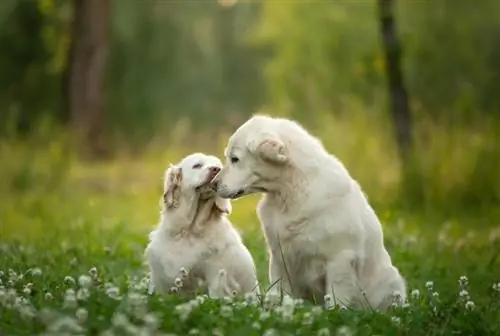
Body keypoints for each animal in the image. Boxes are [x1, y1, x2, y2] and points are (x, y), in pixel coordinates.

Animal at [214, 115, 406, 310]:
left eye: (235, 159)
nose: (214, 183)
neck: (290, 191)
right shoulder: (279, 257)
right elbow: (280, 291)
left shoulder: (340, 259)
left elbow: (336, 297)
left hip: (390, 281)